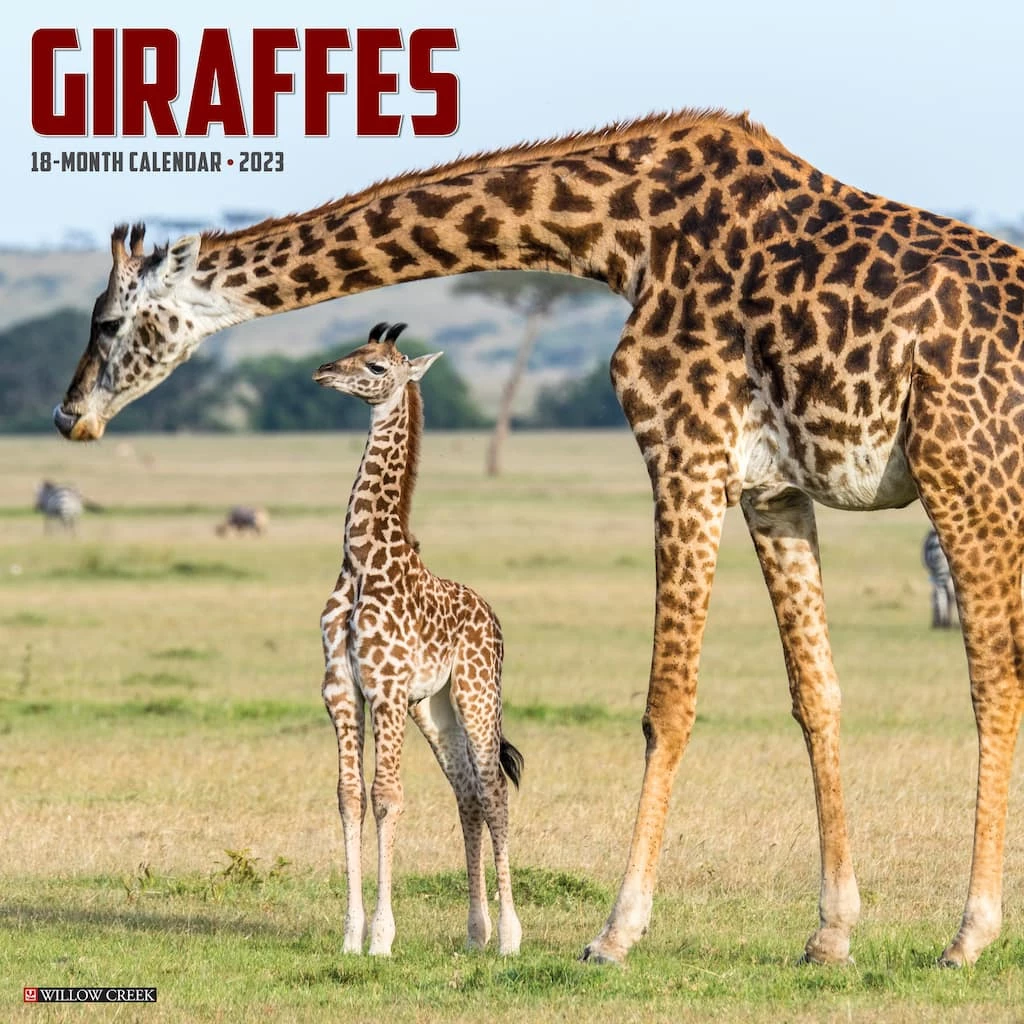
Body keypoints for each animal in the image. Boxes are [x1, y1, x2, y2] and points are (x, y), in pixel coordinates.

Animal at [315, 321, 523, 957]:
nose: (322, 372)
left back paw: (510, 936)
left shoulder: (384, 689)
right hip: (435, 708)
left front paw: (382, 937)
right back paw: (477, 931)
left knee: (495, 791)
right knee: (469, 795)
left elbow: (387, 797)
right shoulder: (341, 689)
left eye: (378, 366)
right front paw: (350, 935)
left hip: (477, 695)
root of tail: (491, 614)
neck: (361, 560)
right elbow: (349, 797)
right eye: (355, 351)